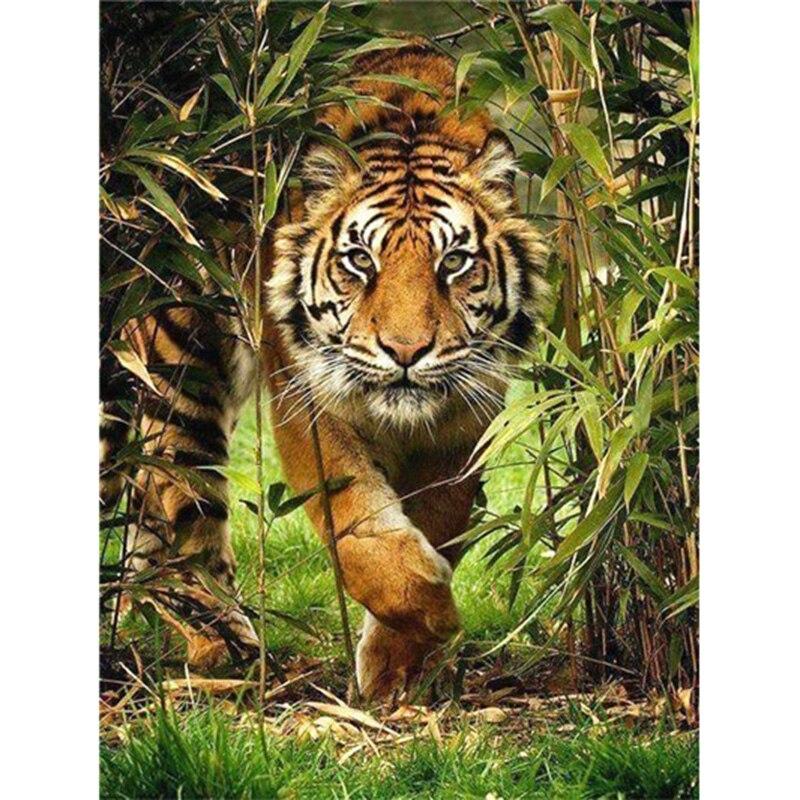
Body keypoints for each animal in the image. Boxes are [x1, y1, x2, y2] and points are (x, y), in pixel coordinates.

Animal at [100, 42, 548, 702]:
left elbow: (440, 517)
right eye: (360, 260)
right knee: (181, 498)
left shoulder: (466, 415)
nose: (406, 351)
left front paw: (399, 666)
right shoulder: (308, 399)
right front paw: (433, 612)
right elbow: (356, 524)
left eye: (454, 262)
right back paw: (225, 647)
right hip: (181, 362)